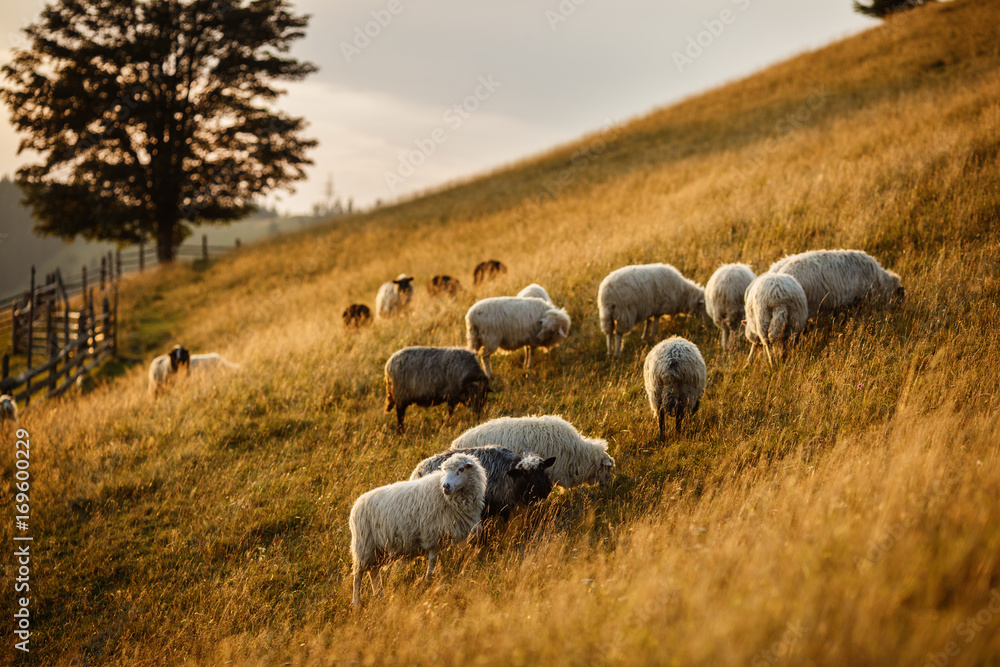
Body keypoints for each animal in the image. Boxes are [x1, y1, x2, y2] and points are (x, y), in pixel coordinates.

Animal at [350, 453, 487, 608]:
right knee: (358, 575)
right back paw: (356, 603)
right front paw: (429, 580)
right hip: (364, 545)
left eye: (461, 469)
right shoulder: (432, 535)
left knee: (373, 571)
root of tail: (357, 504)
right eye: (445, 470)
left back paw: (380, 596)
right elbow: (432, 561)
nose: (446, 486)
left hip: (377, 549)